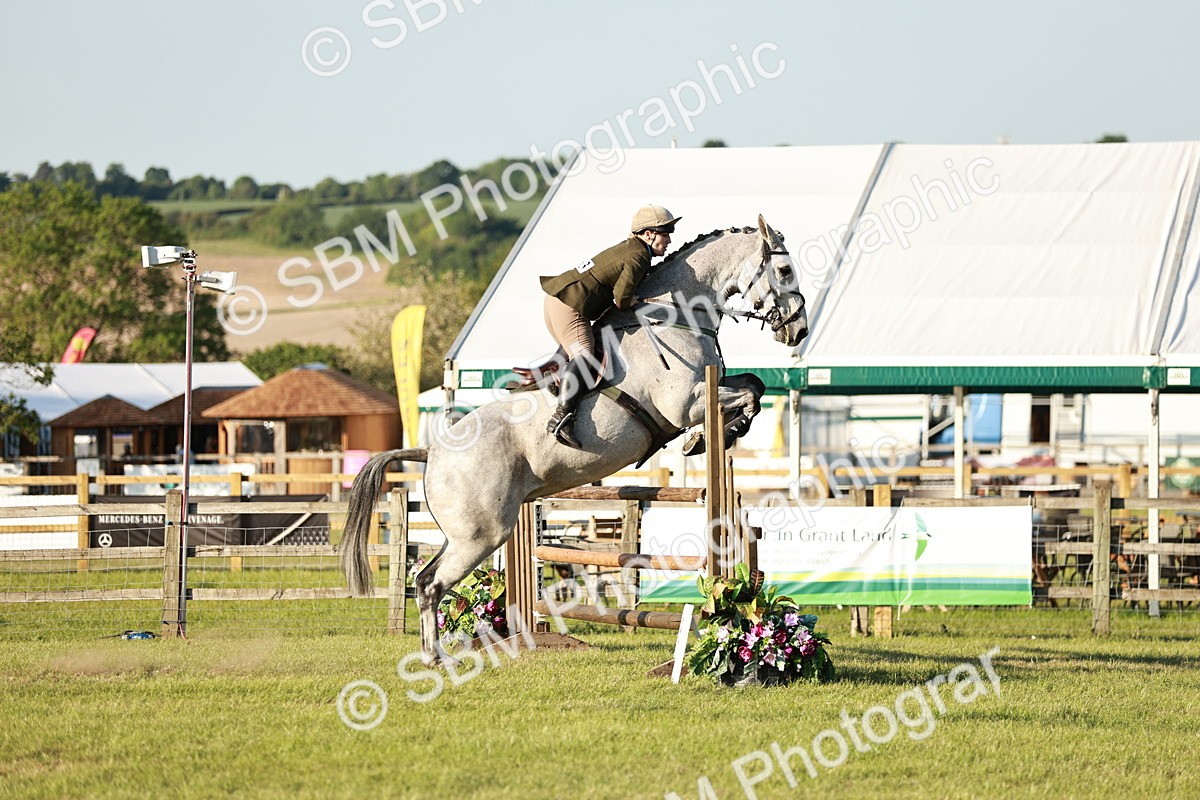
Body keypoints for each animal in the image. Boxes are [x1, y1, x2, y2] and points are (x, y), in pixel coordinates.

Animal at [342, 215, 809, 663]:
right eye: (785, 270)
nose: (799, 331)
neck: (675, 315)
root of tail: (433, 449)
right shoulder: (687, 402)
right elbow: (743, 396)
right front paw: (709, 437)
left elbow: (754, 385)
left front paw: (720, 434)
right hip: (480, 535)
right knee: (430, 584)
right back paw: (436, 656)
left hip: (464, 533)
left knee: (423, 579)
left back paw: (434, 654)